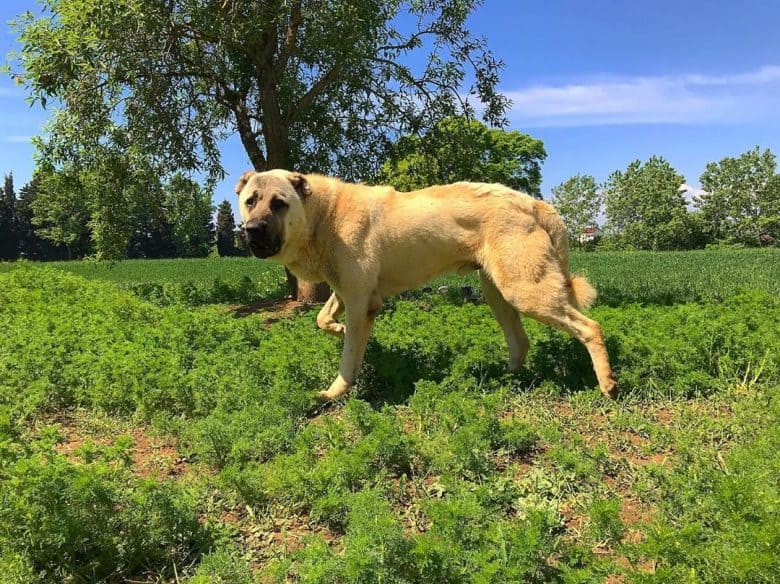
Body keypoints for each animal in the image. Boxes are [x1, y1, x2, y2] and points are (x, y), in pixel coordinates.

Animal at [235, 169, 620, 402]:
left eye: (279, 203)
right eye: (250, 201)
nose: (252, 231)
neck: (323, 216)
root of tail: (533, 202)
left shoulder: (360, 302)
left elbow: (348, 357)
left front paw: (335, 392)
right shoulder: (350, 293)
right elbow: (322, 319)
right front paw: (337, 328)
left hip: (525, 292)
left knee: (590, 327)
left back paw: (607, 384)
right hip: (497, 293)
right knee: (520, 341)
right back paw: (504, 380)